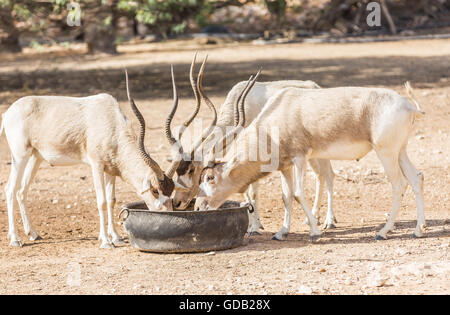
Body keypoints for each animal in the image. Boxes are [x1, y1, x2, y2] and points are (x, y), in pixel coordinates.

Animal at [0, 67, 187, 249]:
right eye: (155, 190)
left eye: (171, 190)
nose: (167, 215)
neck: (111, 121)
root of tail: (8, 113)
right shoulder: (96, 165)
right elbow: (102, 201)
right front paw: (106, 241)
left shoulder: (111, 170)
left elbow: (111, 200)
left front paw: (116, 237)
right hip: (20, 156)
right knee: (10, 189)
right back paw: (15, 239)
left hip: (35, 158)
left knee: (21, 191)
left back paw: (33, 234)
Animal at [197, 82, 426, 241]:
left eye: (210, 177)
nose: (199, 208)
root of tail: (409, 107)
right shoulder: (286, 166)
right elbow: (286, 196)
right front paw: (282, 232)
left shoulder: (300, 158)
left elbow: (298, 193)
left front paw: (315, 232)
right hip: (400, 151)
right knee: (416, 178)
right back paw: (418, 230)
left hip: (386, 152)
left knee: (399, 184)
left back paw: (383, 232)